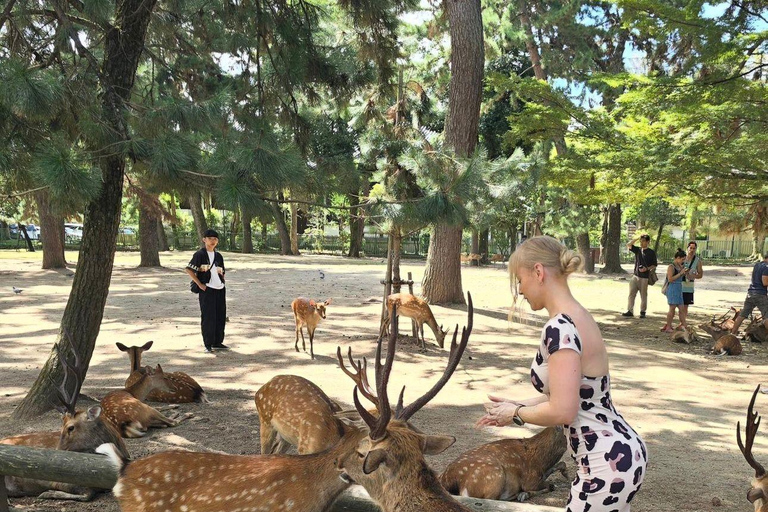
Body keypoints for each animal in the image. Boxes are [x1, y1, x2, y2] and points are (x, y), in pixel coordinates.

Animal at [0, 340, 128, 500]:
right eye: (60, 427)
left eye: (70, 427)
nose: (56, 453)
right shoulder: (59, 480)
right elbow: (88, 493)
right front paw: (46, 493)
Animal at [436, 426, 568, 502]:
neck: (540, 460)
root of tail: (447, 480)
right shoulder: (530, 480)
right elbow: (549, 485)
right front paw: (524, 494)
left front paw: (565, 473)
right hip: (495, 474)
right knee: (491, 499)